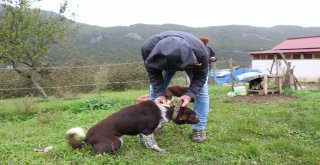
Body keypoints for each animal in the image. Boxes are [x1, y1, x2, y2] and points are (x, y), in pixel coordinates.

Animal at [66, 100, 199, 155]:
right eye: (194, 116)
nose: (199, 120)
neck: (165, 111)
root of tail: (87, 138)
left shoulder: (142, 132)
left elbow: (145, 142)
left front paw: (146, 148)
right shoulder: (147, 131)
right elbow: (153, 143)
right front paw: (159, 150)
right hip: (116, 141)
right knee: (99, 153)